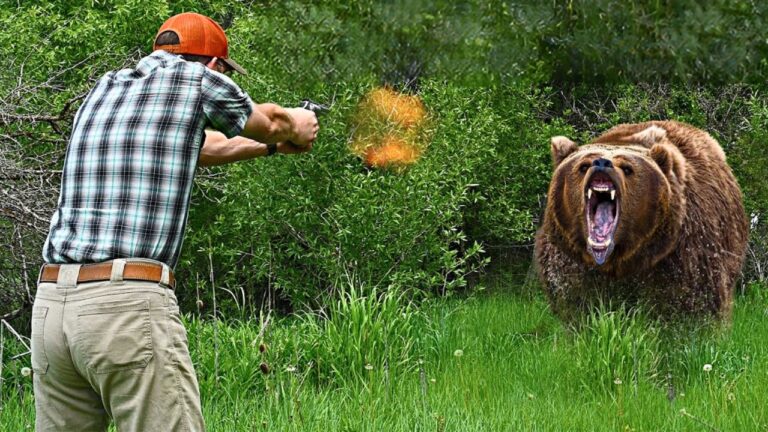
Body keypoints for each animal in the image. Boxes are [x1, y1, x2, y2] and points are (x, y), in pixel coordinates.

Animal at [534, 120, 748, 322]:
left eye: (627, 168)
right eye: (583, 165)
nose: (601, 162)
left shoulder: (685, 252)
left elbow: (689, 303)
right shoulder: (572, 259)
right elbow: (577, 299)